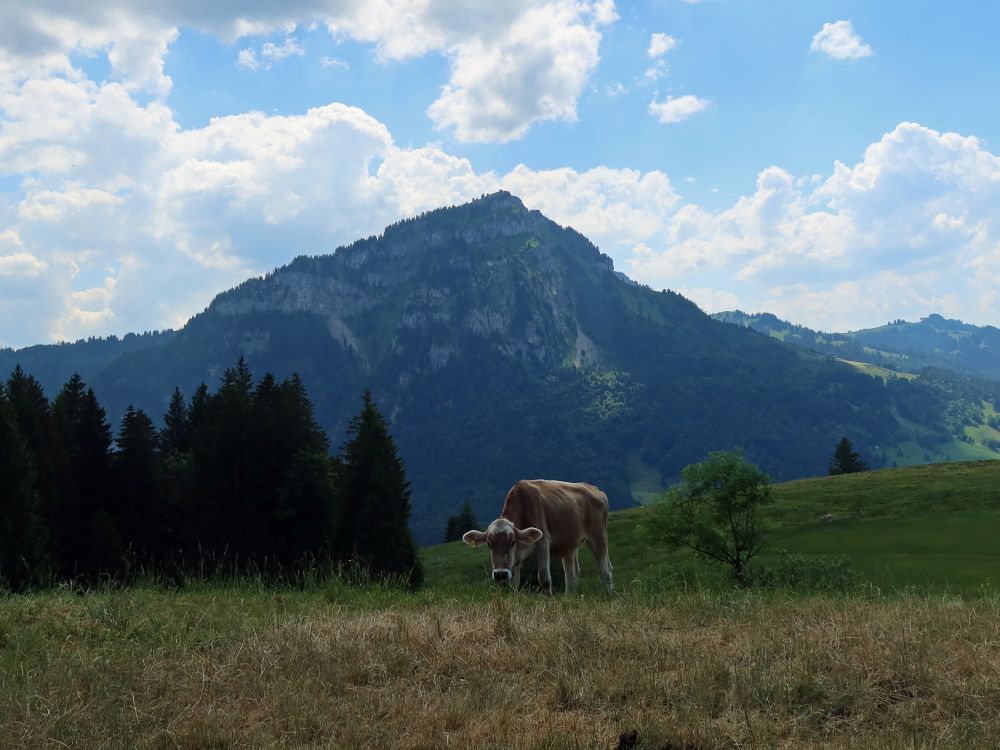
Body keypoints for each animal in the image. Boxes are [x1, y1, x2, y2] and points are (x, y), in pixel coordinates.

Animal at [460, 478, 608, 596]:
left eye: (512, 542)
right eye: (489, 544)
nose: (500, 574)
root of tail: (595, 489)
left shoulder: (543, 543)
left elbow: (544, 579)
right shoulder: (515, 560)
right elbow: (514, 584)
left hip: (598, 536)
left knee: (605, 570)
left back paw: (608, 595)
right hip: (569, 545)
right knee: (572, 574)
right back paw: (569, 597)